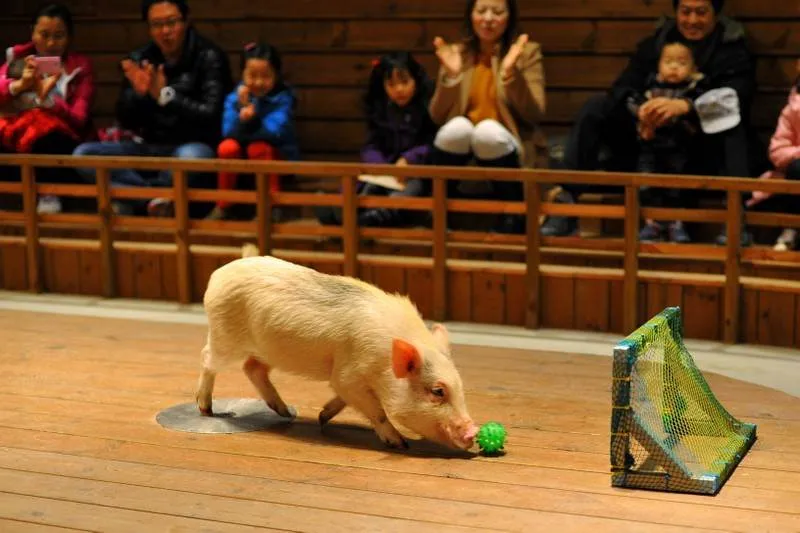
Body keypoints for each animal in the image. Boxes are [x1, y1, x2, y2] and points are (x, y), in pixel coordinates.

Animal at [194, 243, 479, 451]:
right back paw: (206, 409)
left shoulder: (345, 379)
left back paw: (285, 412)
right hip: (224, 336)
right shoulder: (348, 374)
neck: (383, 364)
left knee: (252, 368)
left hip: (267, 349)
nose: (474, 430)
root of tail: (224, 271)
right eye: (438, 391)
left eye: (460, 387)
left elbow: (342, 398)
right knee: (208, 358)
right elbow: (375, 409)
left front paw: (322, 416)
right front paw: (400, 443)